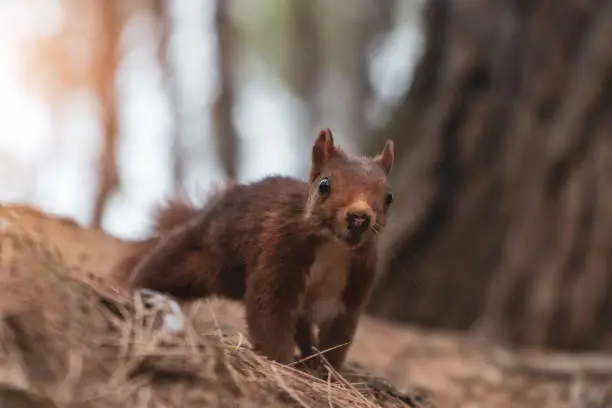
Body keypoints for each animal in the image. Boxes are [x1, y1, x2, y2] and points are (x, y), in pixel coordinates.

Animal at [118, 129, 396, 372]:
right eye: (324, 185)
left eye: (389, 197)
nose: (359, 217)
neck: (333, 248)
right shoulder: (277, 252)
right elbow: (270, 313)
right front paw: (281, 362)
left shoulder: (353, 283)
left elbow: (337, 333)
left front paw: (325, 370)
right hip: (198, 256)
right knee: (161, 266)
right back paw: (137, 290)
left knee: (302, 327)